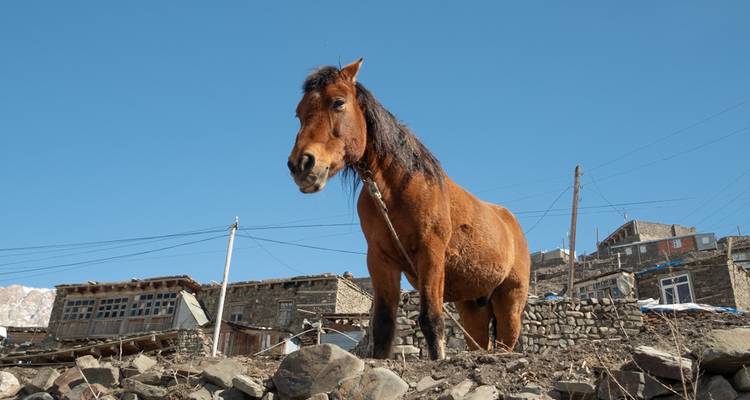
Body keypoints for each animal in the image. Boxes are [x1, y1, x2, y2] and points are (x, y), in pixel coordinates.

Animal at [287, 59, 530, 360]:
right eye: (299, 113)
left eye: (338, 102)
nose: (301, 165)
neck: (396, 189)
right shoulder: (381, 261)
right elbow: (382, 326)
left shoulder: (431, 254)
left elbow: (431, 319)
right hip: (473, 305)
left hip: (511, 299)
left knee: (508, 338)